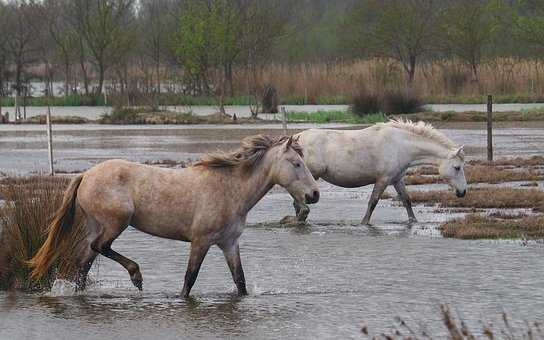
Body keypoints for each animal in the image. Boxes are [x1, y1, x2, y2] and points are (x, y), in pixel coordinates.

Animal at [28, 135, 318, 298]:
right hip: (116, 222)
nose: (314, 194)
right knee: (100, 247)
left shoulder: (229, 243)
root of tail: (86, 175)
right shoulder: (201, 241)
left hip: (96, 225)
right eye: (296, 163)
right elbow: (190, 279)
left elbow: (240, 281)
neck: (231, 189)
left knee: (84, 263)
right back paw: (136, 276)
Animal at [286, 119, 470, 226]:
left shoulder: (397, 179)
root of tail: (297, 138)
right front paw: (364, 223)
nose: (462, 192)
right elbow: (373, 202)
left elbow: (407, 201)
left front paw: (414, 221)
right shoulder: (383, 179)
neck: (401, 145)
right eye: (457, 167)